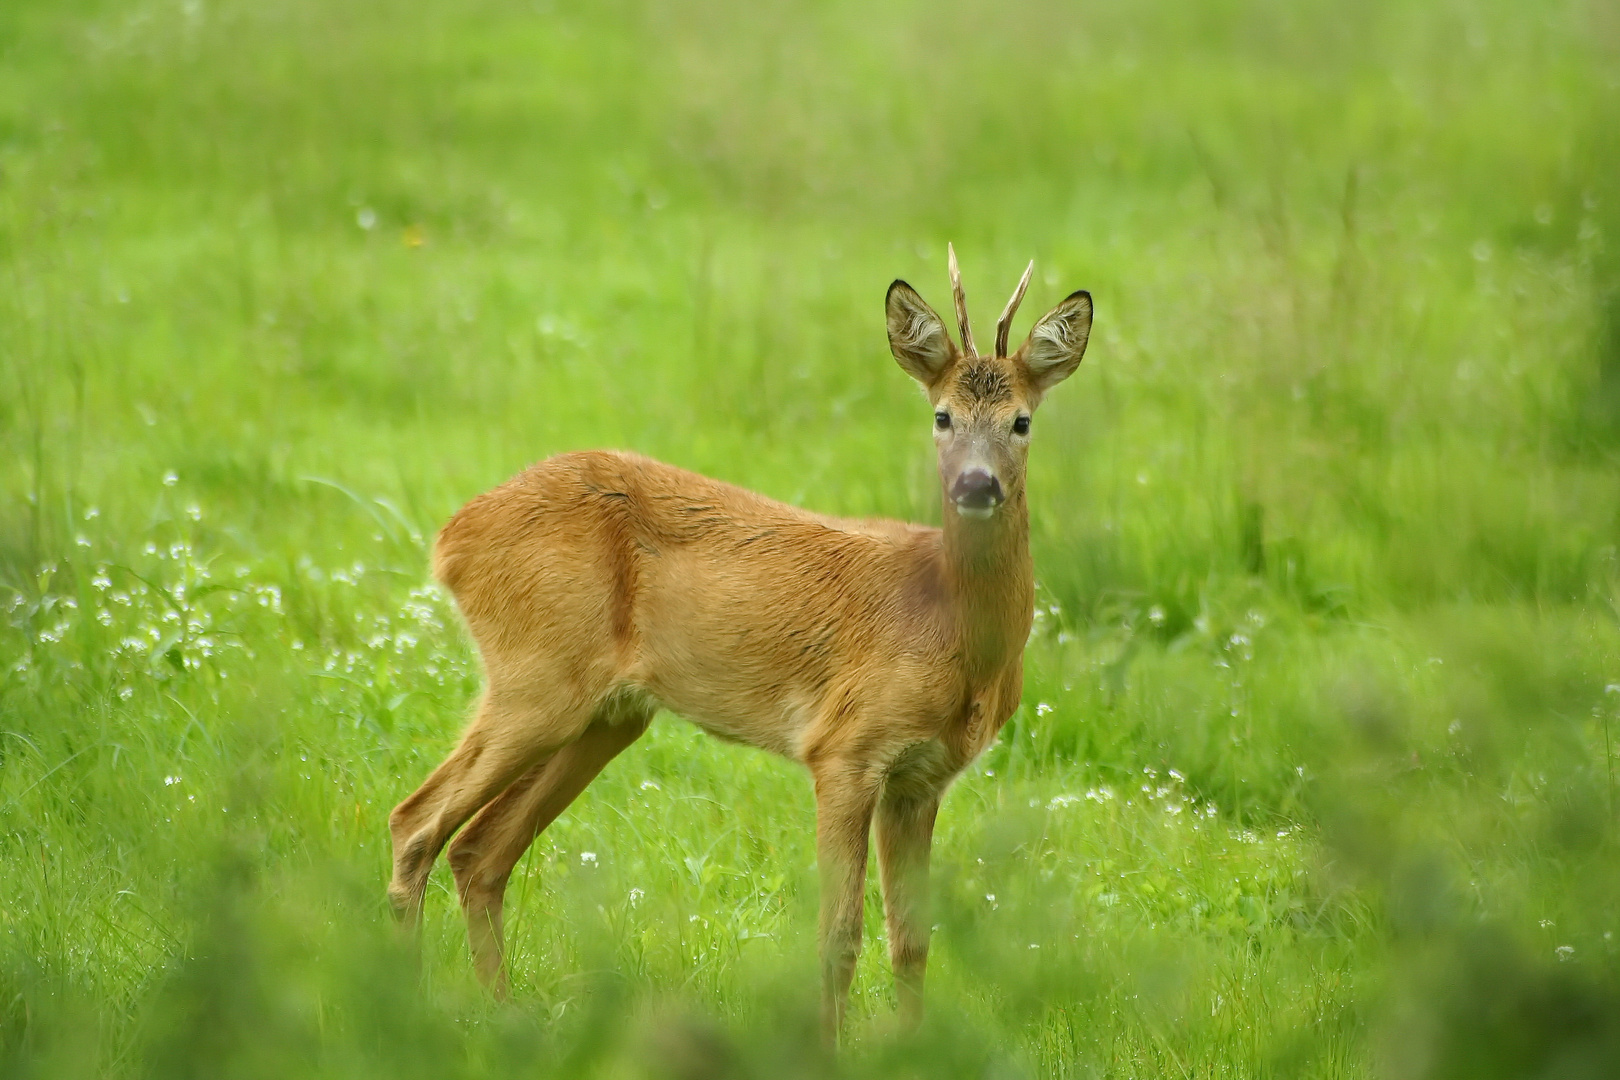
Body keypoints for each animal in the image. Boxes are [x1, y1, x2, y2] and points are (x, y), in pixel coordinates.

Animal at [390, 249, 1095, 1042]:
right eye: (941, 416)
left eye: (1022, 421)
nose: (977, 485)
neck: (952, 632)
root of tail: (452, 536)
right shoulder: (844, 748)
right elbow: (839, 934)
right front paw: (829, 1049)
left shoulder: (921, 778)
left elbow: (912, 939)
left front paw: (912, 1048)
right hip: (536, 677)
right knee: (415, 823)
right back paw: (406, 1006)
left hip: (607, 715)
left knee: (479, 850)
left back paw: (505, 1014)